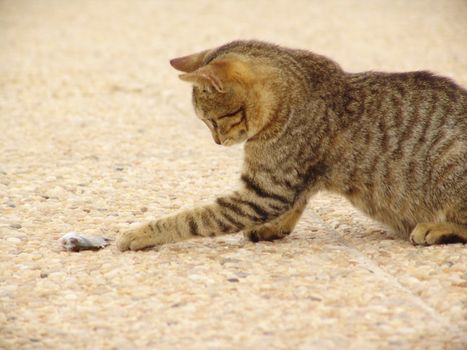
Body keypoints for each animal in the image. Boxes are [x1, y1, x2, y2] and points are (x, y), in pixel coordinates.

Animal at [115, 39, 466, 250]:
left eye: (213, 121)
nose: (216, 141)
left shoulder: (265, 190)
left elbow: (195, 218)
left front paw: (142, 233)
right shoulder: (292, 180)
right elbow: (298, 201)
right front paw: (274, 227)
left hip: (450, 164)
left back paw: (436, 228)